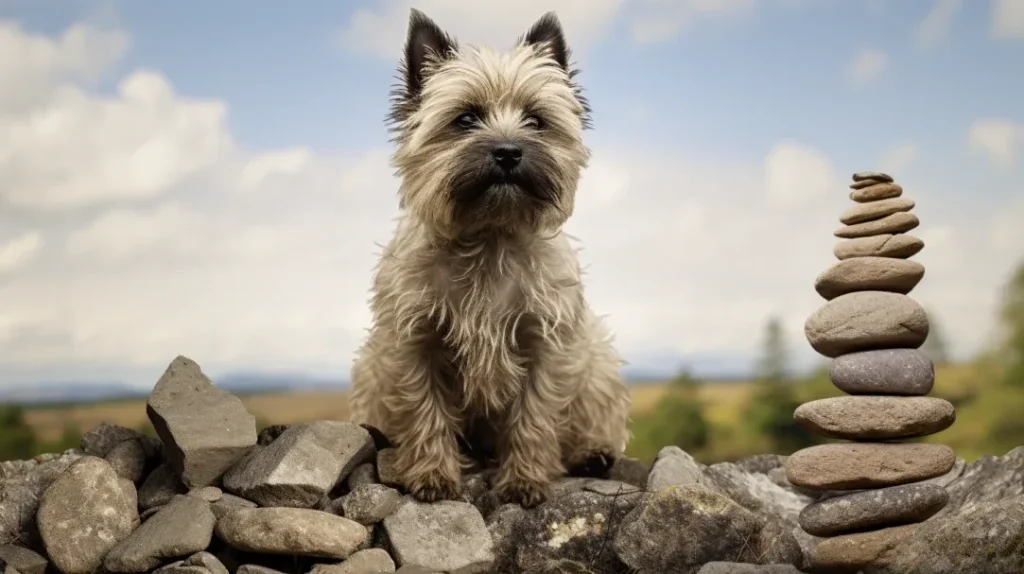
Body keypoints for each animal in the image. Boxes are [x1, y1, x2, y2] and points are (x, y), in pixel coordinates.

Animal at [348, 7, 626, 505]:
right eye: (464, 119)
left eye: (536, 120)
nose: (508, 151)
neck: (489, 238)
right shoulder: (414, 343)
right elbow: (425, 410)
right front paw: (434, 475)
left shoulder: (545, 344)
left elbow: (534, 415)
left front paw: (524, 479)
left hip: (596, 357)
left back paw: (591, 453)